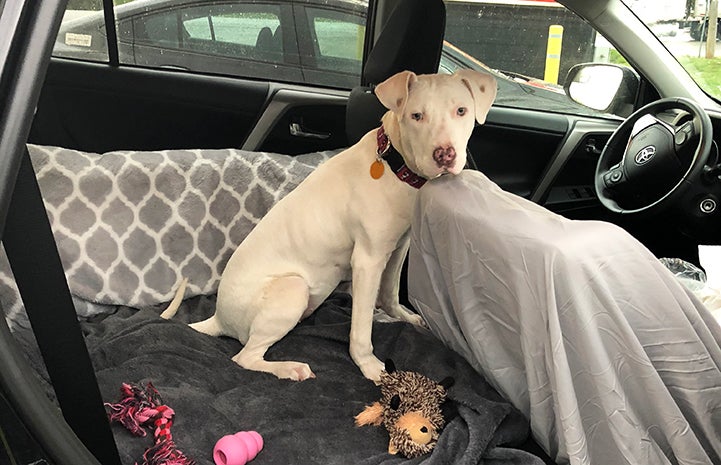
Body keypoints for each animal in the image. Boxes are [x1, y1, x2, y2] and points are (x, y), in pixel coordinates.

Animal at [161, 69, 496, 380]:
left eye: (461, 111)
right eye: (416, 116)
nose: (445, 154)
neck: (393, 163)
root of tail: (219, 317)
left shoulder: (399, 246)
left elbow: (389, 292)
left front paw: (405, 317)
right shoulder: (367, 260)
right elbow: (361, 326)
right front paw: (370, 367)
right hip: (292, 287)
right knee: (244, 357)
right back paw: (290, 368)